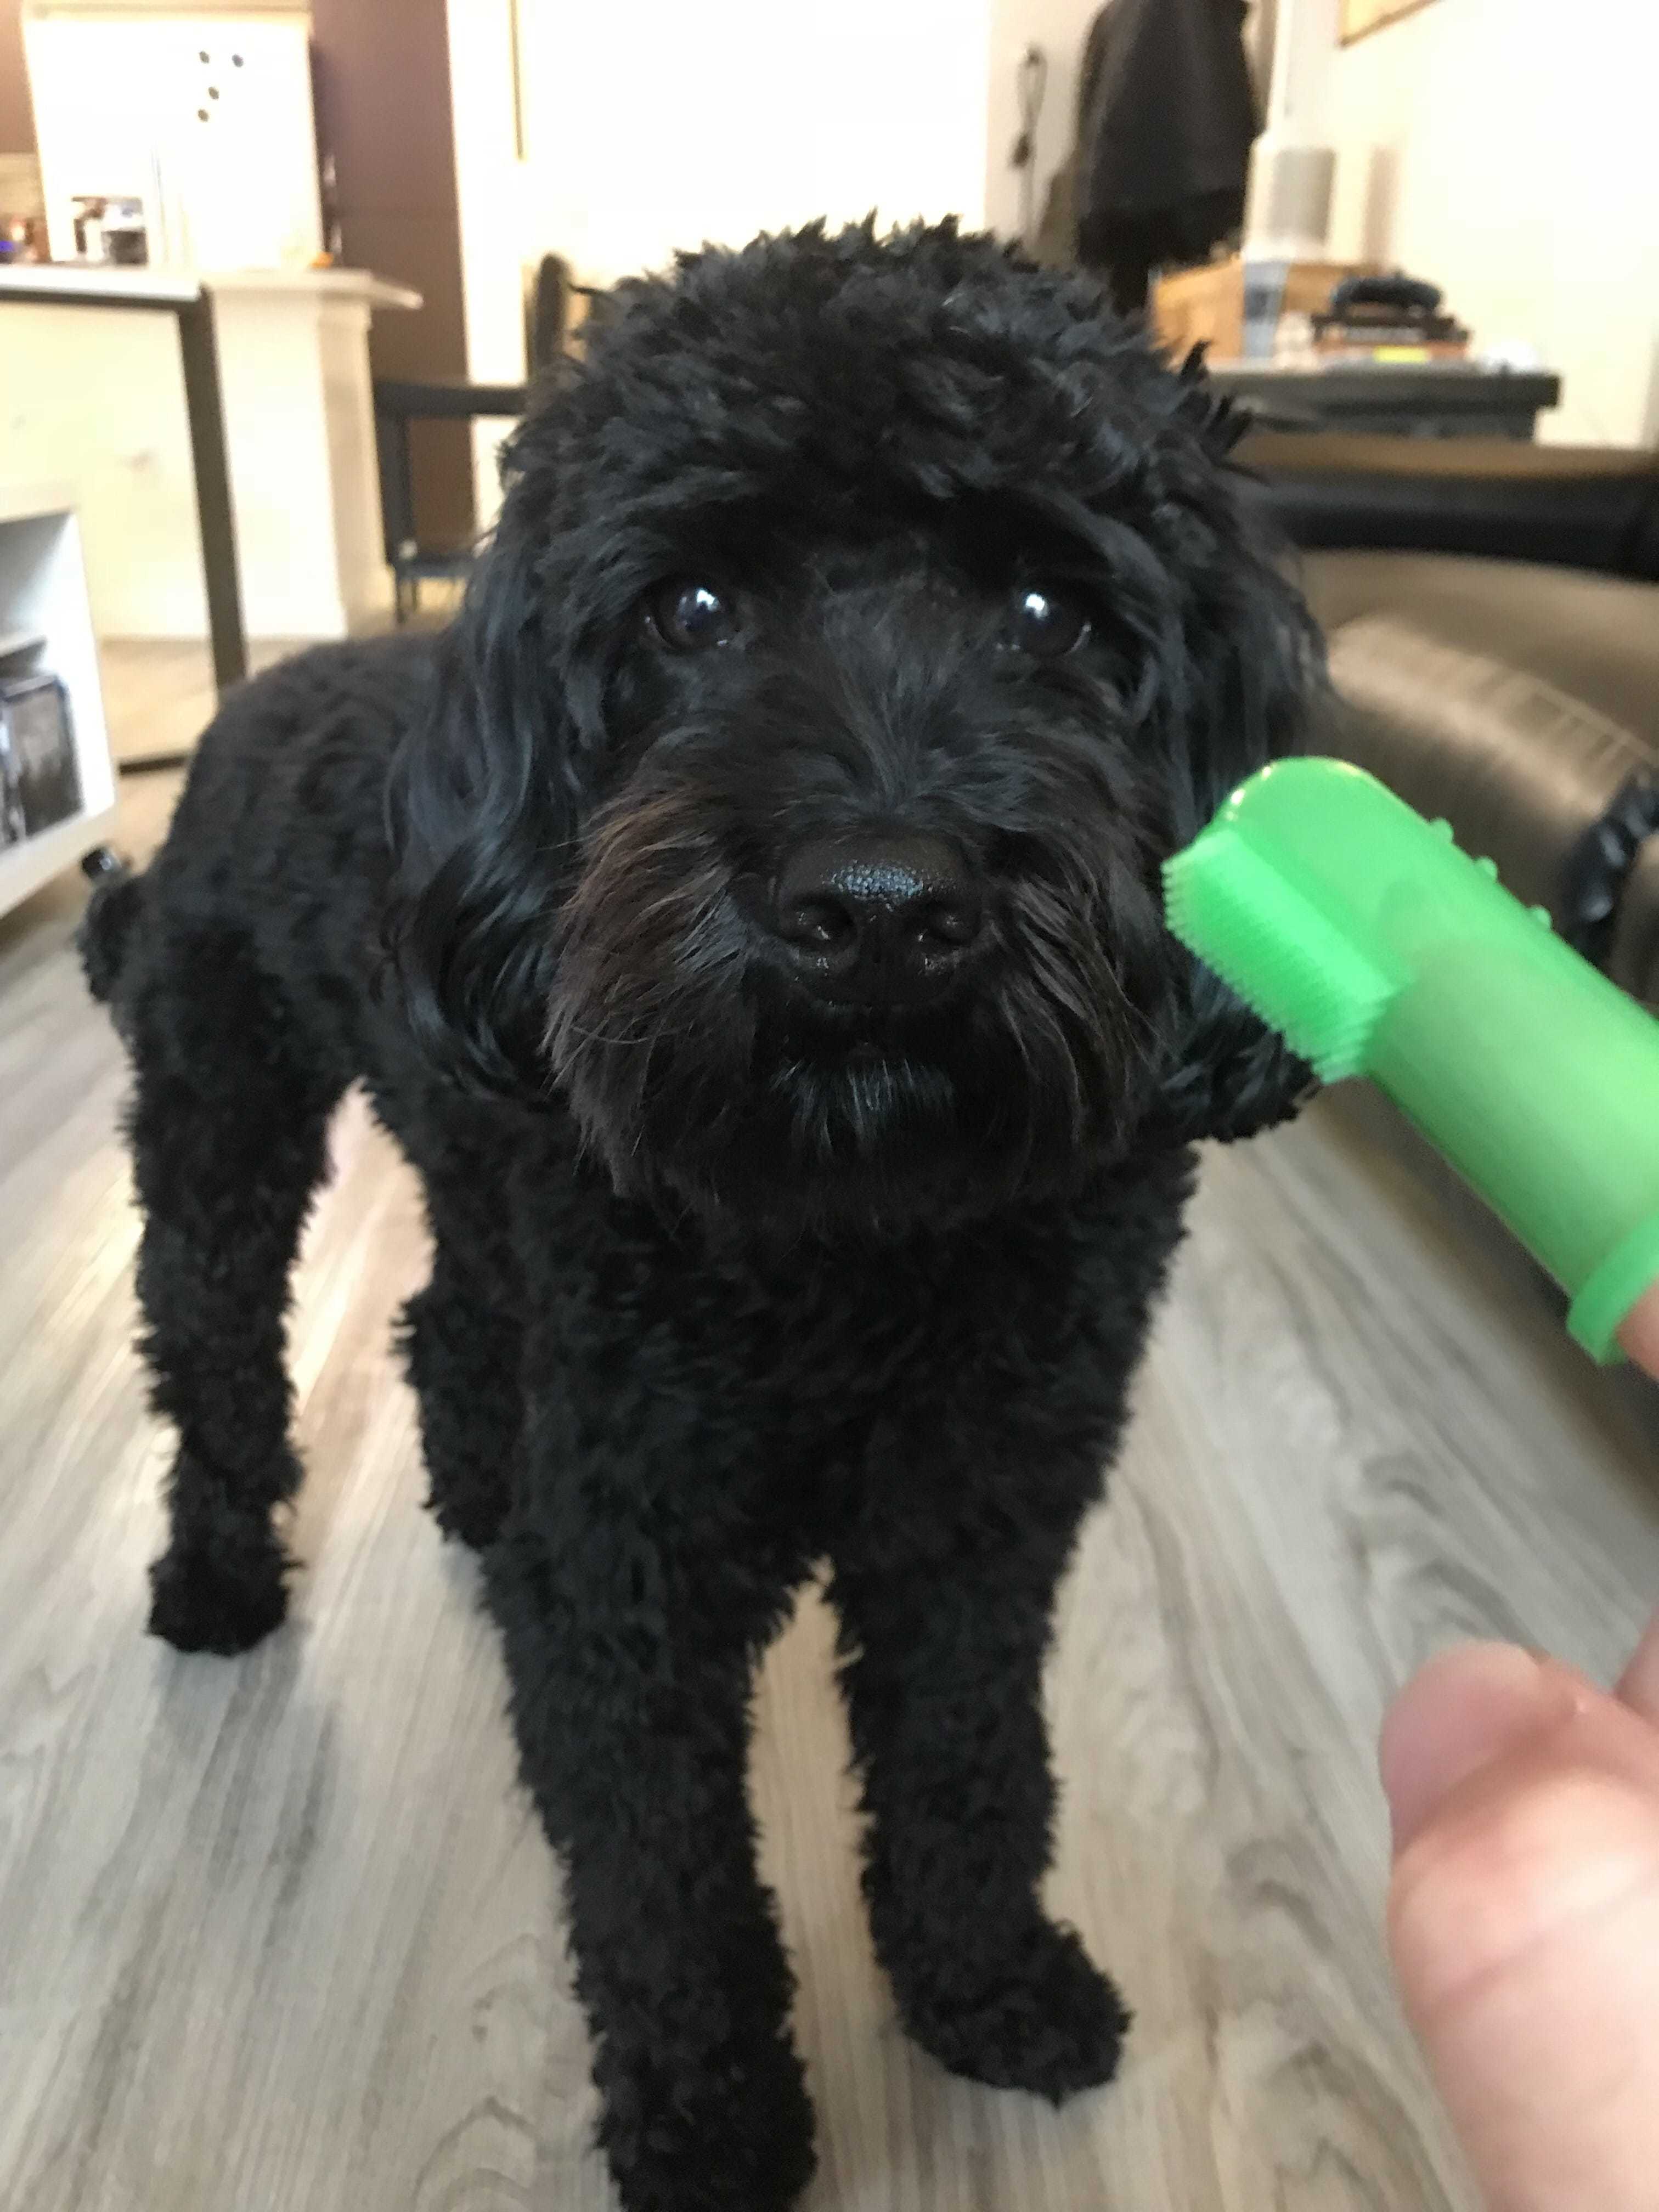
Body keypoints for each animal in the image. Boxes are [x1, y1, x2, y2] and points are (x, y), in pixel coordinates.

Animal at [88, 224, 1309, 2212]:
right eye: (693, 607)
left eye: (1054, 614)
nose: (882, 905)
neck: (861, 1236)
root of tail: (260, 694)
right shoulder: (634, 1572)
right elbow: (664, 1887)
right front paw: (717, 2125)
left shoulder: (982, 1512)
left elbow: (973, 1764)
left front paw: (989, 1987)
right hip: (222, 1118)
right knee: (211, 1351)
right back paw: (213, 1577)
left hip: (482, 1176)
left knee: (446, 1321)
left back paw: (468, 1493)